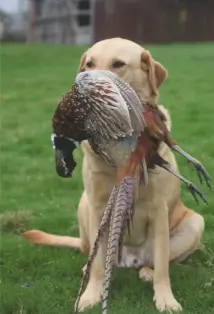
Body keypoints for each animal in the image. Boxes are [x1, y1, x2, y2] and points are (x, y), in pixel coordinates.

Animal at [22, 37, 205, 312]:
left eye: (118, 64)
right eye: (89, 63)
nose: (86, 81)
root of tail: (129, 259)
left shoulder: (159, 209)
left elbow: (163, 265)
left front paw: (166, 299)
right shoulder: (98, 206)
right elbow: (98, 262)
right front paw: (91, 294)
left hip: (195, 223)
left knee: (159, 261)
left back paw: (147, 272)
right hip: (84, 206)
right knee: (94, 254)